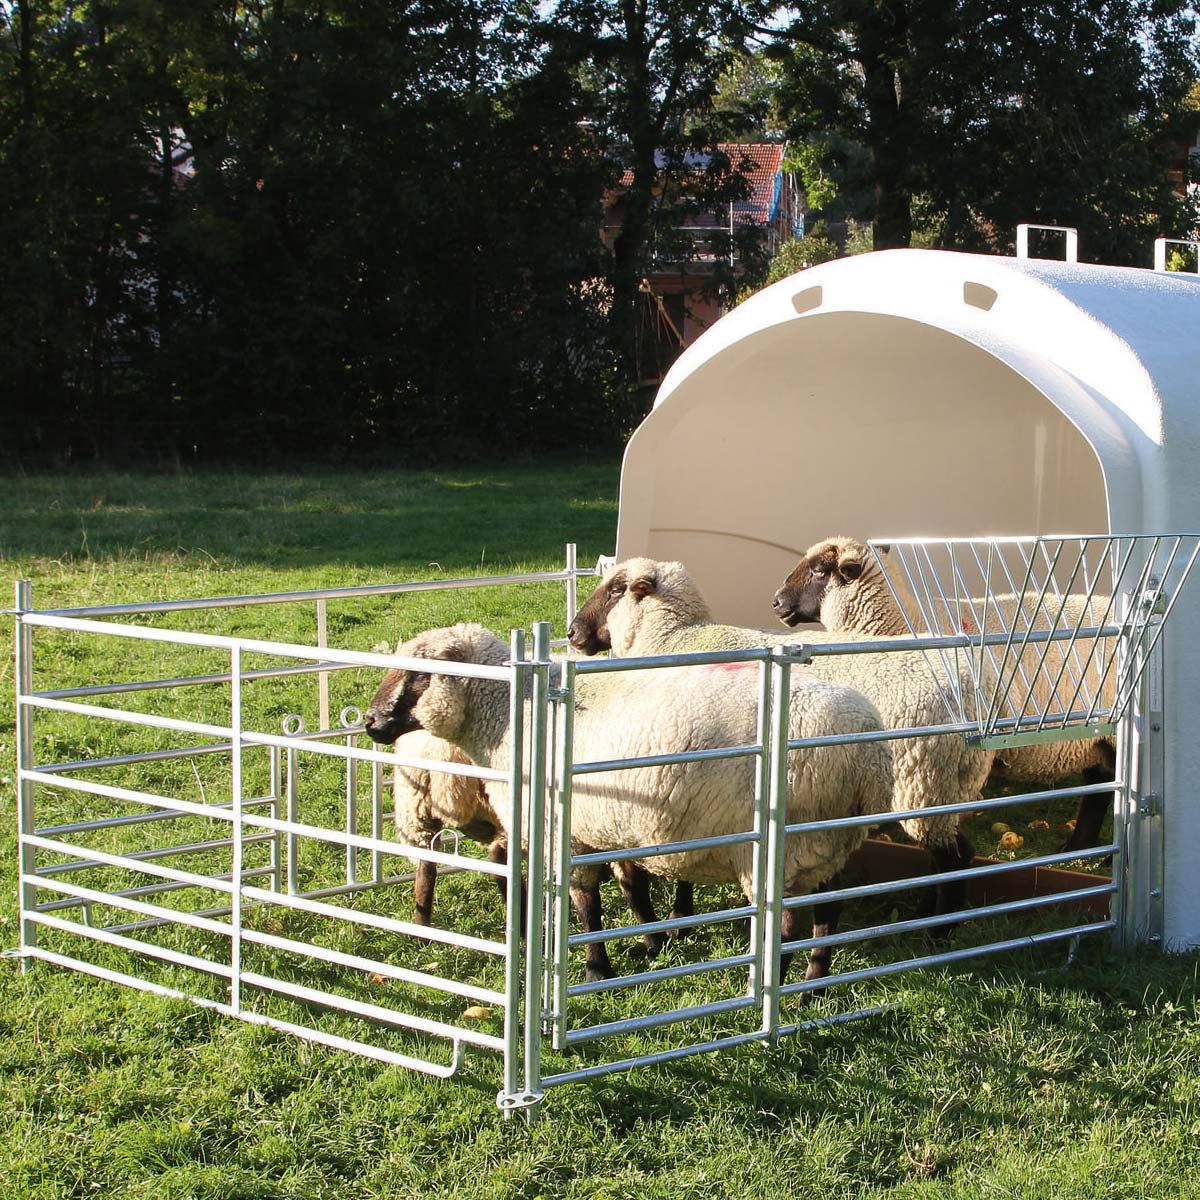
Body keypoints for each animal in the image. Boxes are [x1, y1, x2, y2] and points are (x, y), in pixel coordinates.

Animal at [364, 621, 893, 989]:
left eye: (419, 674)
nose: (371, 722)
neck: (510, 715)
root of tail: (867, 753)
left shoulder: (566, 830)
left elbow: (585, 904)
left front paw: (596, 970)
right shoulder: (608, 826)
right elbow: (630, 888)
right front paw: (650, 942)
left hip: (785, 844)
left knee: (786, 924)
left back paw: (774, 989)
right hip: (827, 838)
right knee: (829, 910)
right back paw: (813, 985)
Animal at [568, 558, 995, 928]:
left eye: (615, 590)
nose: (572, 633)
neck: (676, 640)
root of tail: (972, 687)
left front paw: (679, 916)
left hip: (922, 785)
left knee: (953, 856)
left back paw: (939, 931)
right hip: (951, 786)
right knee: (950, 853)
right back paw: (929, 915)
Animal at [772, 535, 1116, 853]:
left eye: (819, 570)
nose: (776, 601)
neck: (902, 623)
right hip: (1098, 737)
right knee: (1102, 786)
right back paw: (1079, 847)